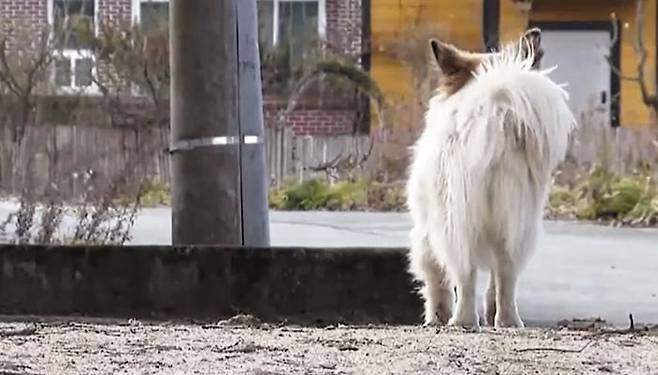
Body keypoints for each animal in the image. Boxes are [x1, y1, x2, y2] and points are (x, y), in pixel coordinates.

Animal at [404, 29, 576, 328]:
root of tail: (497, 118)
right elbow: (494, 281)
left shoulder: (425, 232)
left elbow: (436, 279)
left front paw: (436, 316)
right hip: (518, 222)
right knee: (506, 274)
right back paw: (507, 320)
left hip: (453, 220)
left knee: (465, 273)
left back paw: (461, 321)